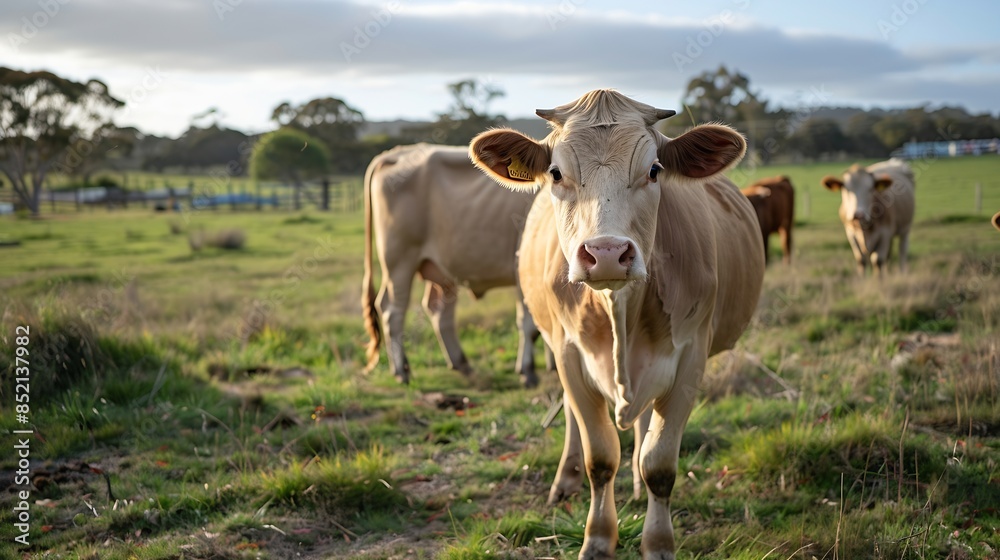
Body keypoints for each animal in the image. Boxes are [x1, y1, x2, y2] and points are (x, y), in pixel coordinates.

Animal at [362, 143, 549, 387]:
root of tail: (396, 153)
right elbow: (530, 325)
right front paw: (528, 370)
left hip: (440, 269)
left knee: (438, 312)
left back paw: (460, 363)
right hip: (399, 262)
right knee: (393, 311)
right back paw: (401, 371)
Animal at [470, 90, 765, 560]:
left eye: (654, 170)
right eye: (556, 172)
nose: (606, 253)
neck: (620, 308)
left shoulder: (690, 360)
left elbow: (659, 464)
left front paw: (658, 543)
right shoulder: (570, 354)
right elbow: (601, 458)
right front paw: (597, 539)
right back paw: (566, 480)